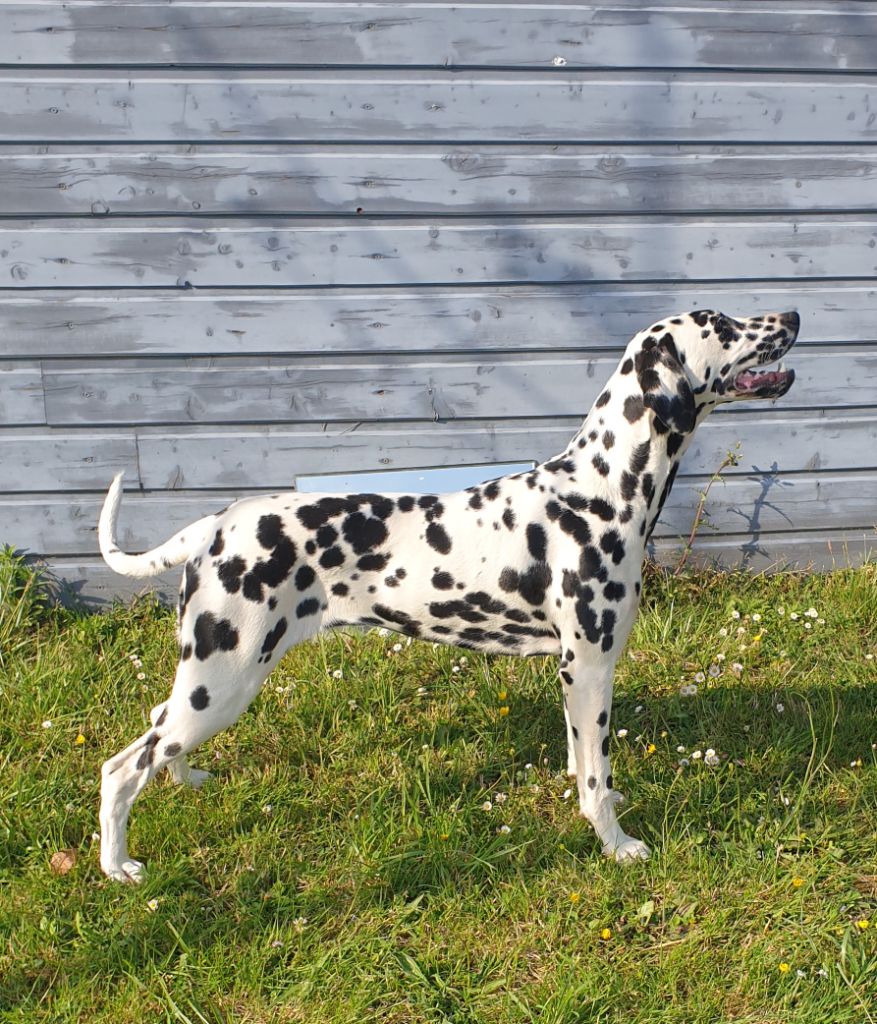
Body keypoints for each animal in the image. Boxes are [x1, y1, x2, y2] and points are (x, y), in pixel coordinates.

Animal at [97, 307, 803, 884]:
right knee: (121, 769)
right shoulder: (591, 668)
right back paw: (118, 867)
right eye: (720, 323)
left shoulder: (574, 676)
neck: (597, 491)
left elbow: (581, 760)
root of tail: (216, 523)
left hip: (206, 682)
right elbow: (595, 777)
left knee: (157, 730)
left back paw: (184, 779)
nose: (794, 314)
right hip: (223, 680)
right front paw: (616, 844)